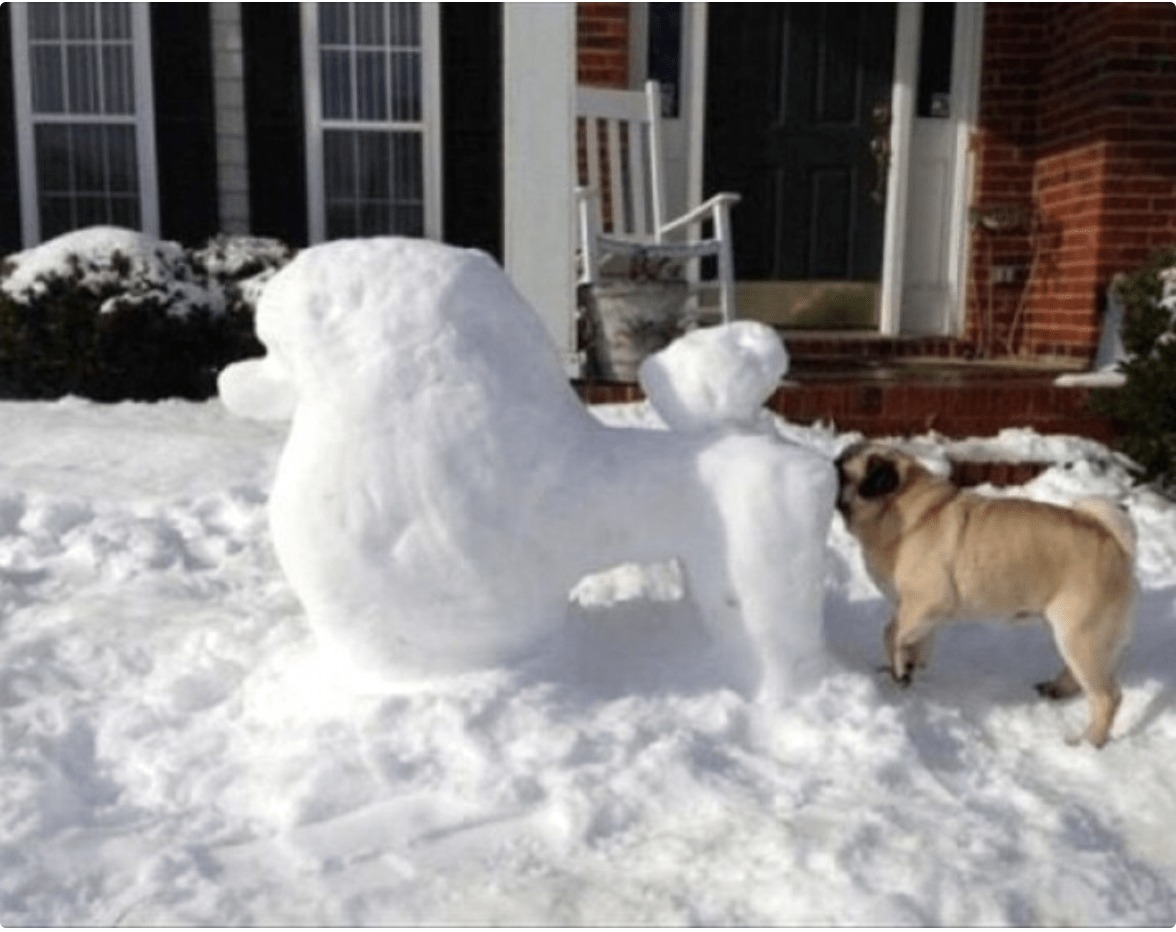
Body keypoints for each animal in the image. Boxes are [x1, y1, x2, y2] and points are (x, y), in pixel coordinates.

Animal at [832, 439, 1133, 747]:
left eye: (841, 472)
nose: (835, 459)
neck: (903, 506)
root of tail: (1114, 541)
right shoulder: (926, 616)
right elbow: (918, 641)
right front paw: (909, 667)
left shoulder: (922, 604)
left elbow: (891, 633)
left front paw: (898, 667)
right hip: (1074, 634)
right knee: (1078, 675)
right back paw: (1056, 690)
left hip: (1081, 635)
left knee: (1107, 698)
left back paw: (1090, 742)